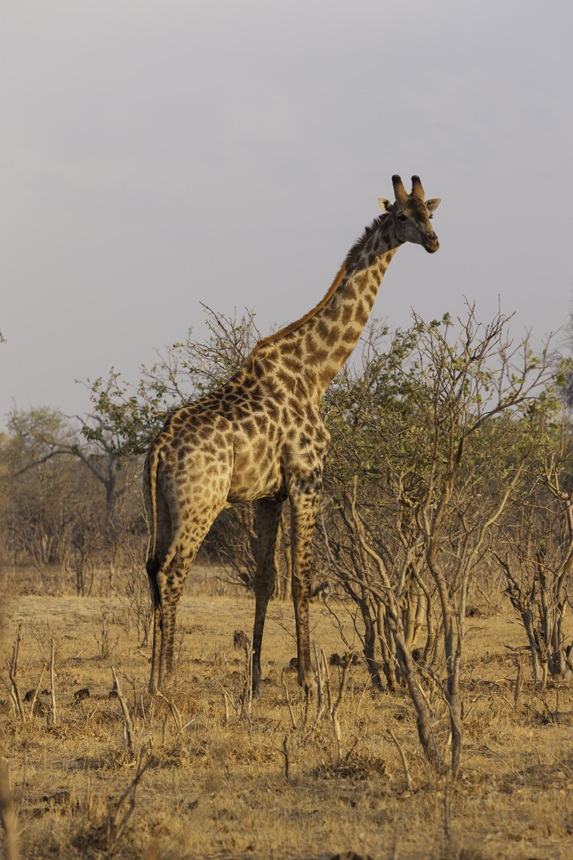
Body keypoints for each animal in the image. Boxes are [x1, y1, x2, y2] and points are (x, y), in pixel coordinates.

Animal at [144, 174, 441, 695]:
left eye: (432, 212)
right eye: (403, 215)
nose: (432, 241)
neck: (316, 373)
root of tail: (158, 450)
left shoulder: (268, 495)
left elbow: (266, 579)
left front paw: (256, 681)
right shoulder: (307, 478)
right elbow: (303, 576)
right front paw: (308, 680)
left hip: (164, 506)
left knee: (152, 569)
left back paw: (151, 679)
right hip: (200, 502)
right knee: (173, 572)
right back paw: (167, 680)